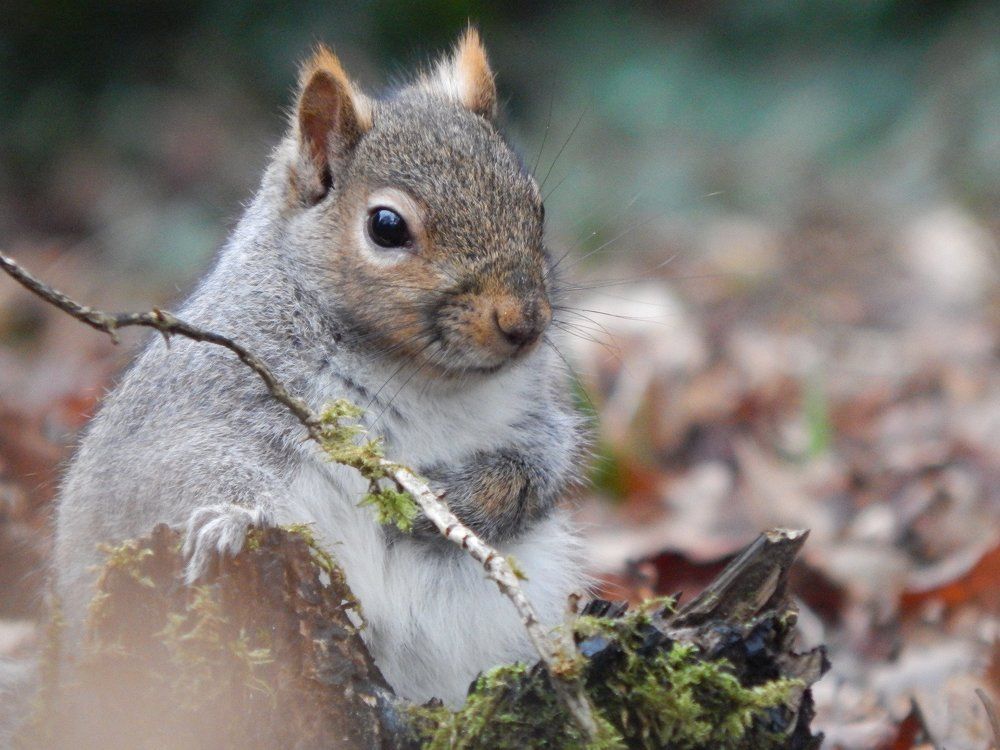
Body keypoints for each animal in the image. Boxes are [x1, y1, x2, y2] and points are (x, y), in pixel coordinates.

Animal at [51, 29, 587, 708]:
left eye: (536, 207)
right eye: (386, 226)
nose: (525, 323)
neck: (416, 374)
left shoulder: (536, 409)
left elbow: (544, 464)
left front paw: (451, 502)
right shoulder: (198, 400)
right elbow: (179, 472)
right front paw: (230, 521)